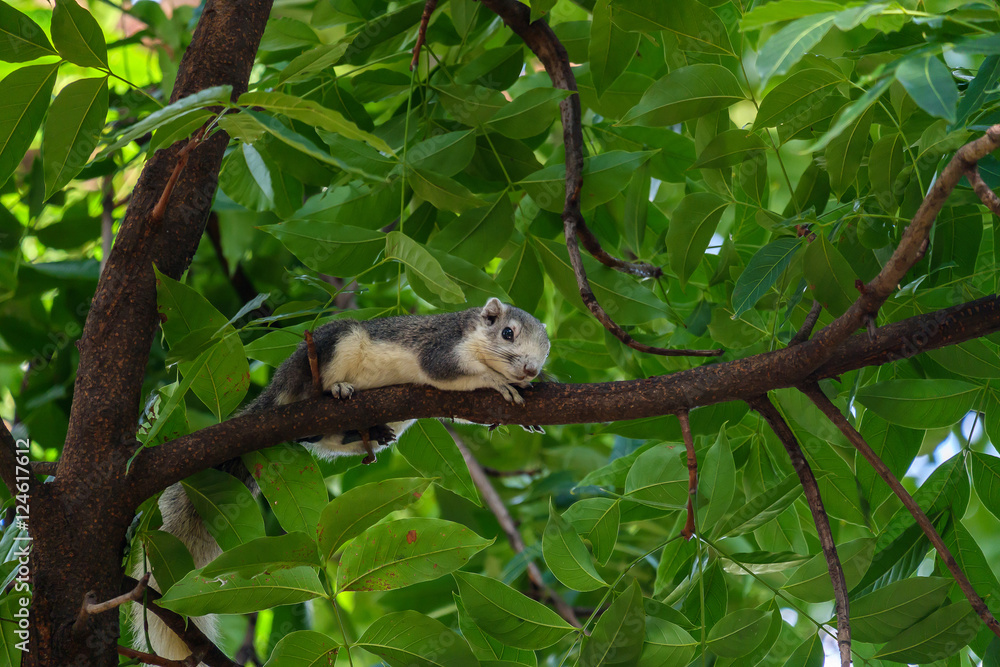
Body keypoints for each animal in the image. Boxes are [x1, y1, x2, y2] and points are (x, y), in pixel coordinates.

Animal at [131, 298, 550, 664]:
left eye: (546, 349)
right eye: (508, 333)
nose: (531, 370)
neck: (473, 335)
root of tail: (275, 391)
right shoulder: (441, 348)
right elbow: (455, 374)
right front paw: (498, 382)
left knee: (323, 438)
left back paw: (366, 433)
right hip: (329, 349)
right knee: (312, 401)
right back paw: (333, 389)